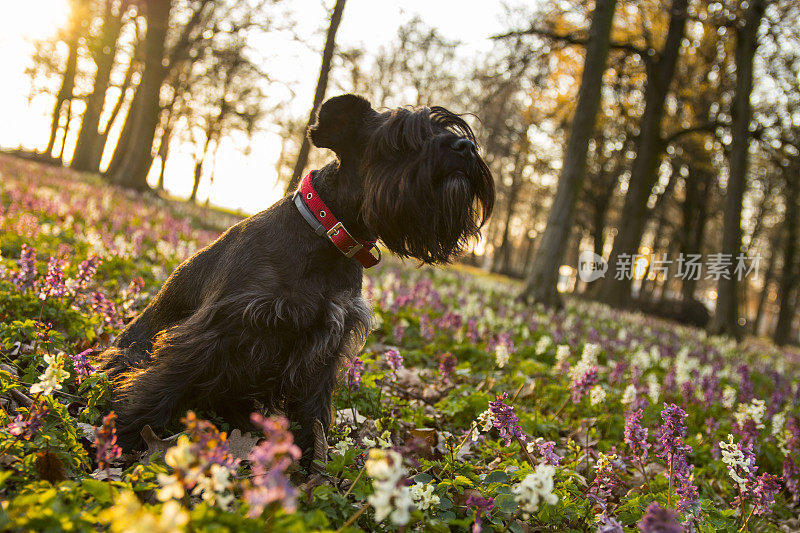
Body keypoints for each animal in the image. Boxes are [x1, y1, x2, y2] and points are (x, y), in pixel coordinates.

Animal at [100, 94, 494, 458]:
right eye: (401, 136)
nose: (465, 146)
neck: (327, 236)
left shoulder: (327, 344)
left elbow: (314, 410)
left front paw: (312, 459)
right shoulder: (222, 323)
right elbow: (169, 377)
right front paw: (126, 432)